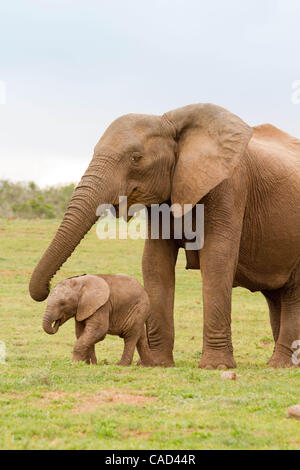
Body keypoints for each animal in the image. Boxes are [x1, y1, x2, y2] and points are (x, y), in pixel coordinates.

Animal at [29, 104, 300, 370]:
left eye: (135, 158)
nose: (47, 289)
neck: (169, 122)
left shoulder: (229, 185)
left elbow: (217, 259)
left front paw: (216, 367)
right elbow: (154, 262)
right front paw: (158, 364)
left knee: (292, 294)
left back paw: (280, 365)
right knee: (276, 296)